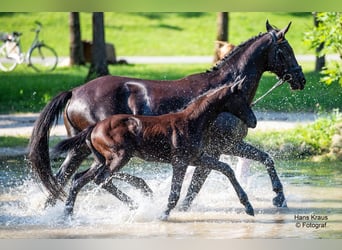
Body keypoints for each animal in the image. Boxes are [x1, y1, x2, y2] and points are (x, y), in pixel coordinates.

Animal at [53, 81, 256, 220]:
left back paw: (68, 215)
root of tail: (93, 128)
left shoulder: (197, 158)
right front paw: (163, 215)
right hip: (119, 157)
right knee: (100, 178)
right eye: (241, 99)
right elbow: (174, 193)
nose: (254, 122)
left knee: (79, 179)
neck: (193, 121)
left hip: (102, 160)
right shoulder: (180, 161)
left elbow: (226, 169)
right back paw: (135, 206)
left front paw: (248, 206)